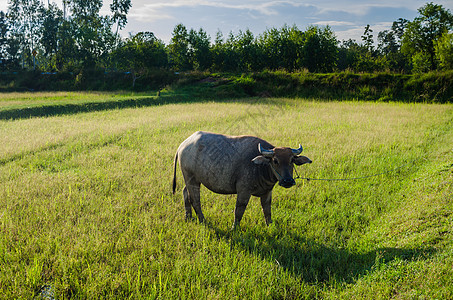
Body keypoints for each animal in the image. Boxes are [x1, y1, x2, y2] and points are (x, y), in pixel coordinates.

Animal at [170, 131, 310, 227]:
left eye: (291, 160)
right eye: (275, 161)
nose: (288, 181)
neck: (261, 167)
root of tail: (182, 145)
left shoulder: (267, 192)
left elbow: (267, 209)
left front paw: (269, 225)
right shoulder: (243, 191)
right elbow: (239, 210)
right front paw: (234, 228)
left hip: (191, 179)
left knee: (185, 193)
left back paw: (188, 217)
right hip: (191, 179)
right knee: (195, 199)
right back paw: (202, 220)